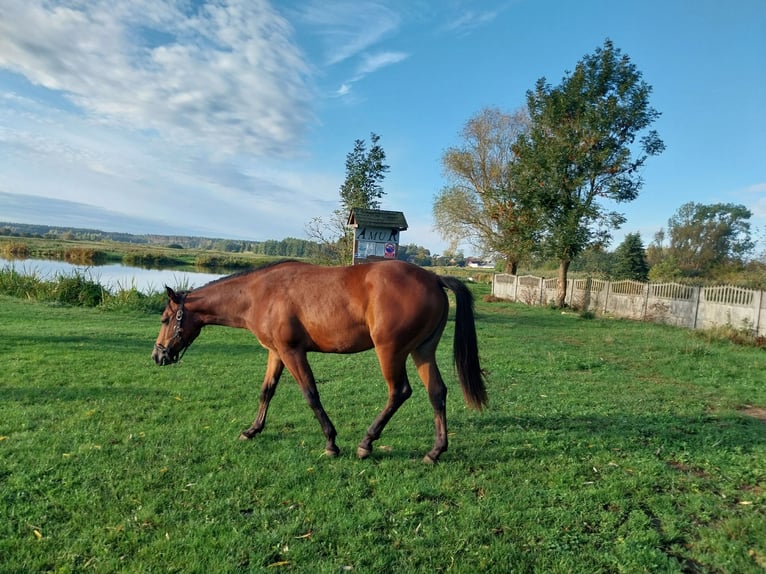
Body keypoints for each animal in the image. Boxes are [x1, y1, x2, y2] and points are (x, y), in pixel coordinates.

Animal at [152, 260, 486, 464]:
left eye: (166, 318)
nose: (158, 355)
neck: (259, 293)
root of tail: (433, 277)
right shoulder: (276, 353)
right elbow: (267, 391)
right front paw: (252, 429)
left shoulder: (293, 352)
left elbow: (311, 394)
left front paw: (331, 443)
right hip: (422, 351)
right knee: (437, 392)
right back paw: (435, 451)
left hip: (390, 352)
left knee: (399, 392)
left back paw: (366, 443)